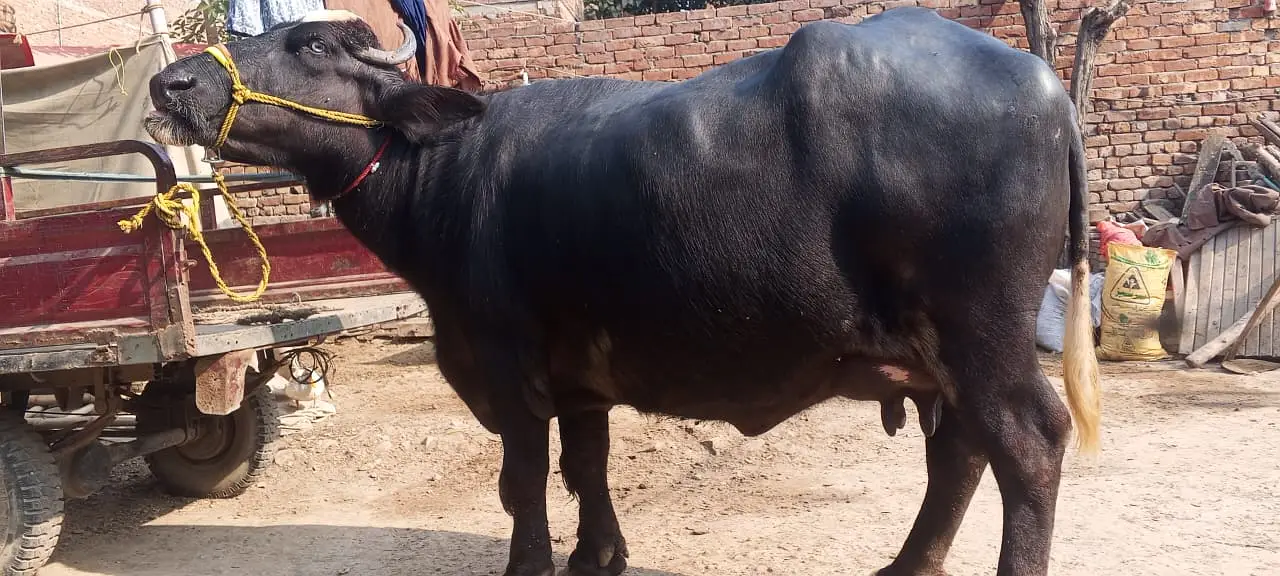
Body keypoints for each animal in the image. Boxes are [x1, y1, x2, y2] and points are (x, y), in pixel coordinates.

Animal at [147, 7, 1101, 575]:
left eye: (306, 45)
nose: (172, 82)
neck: (447, 175)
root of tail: (1045, 86)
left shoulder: (508, 365)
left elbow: (523, 480)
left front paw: (531, 563)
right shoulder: (580, 378)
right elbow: (586, 465)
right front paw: (597, 554)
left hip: (980, 330)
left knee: (1027, 443)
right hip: (939, 352)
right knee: (961, 451)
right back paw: (905, 567)